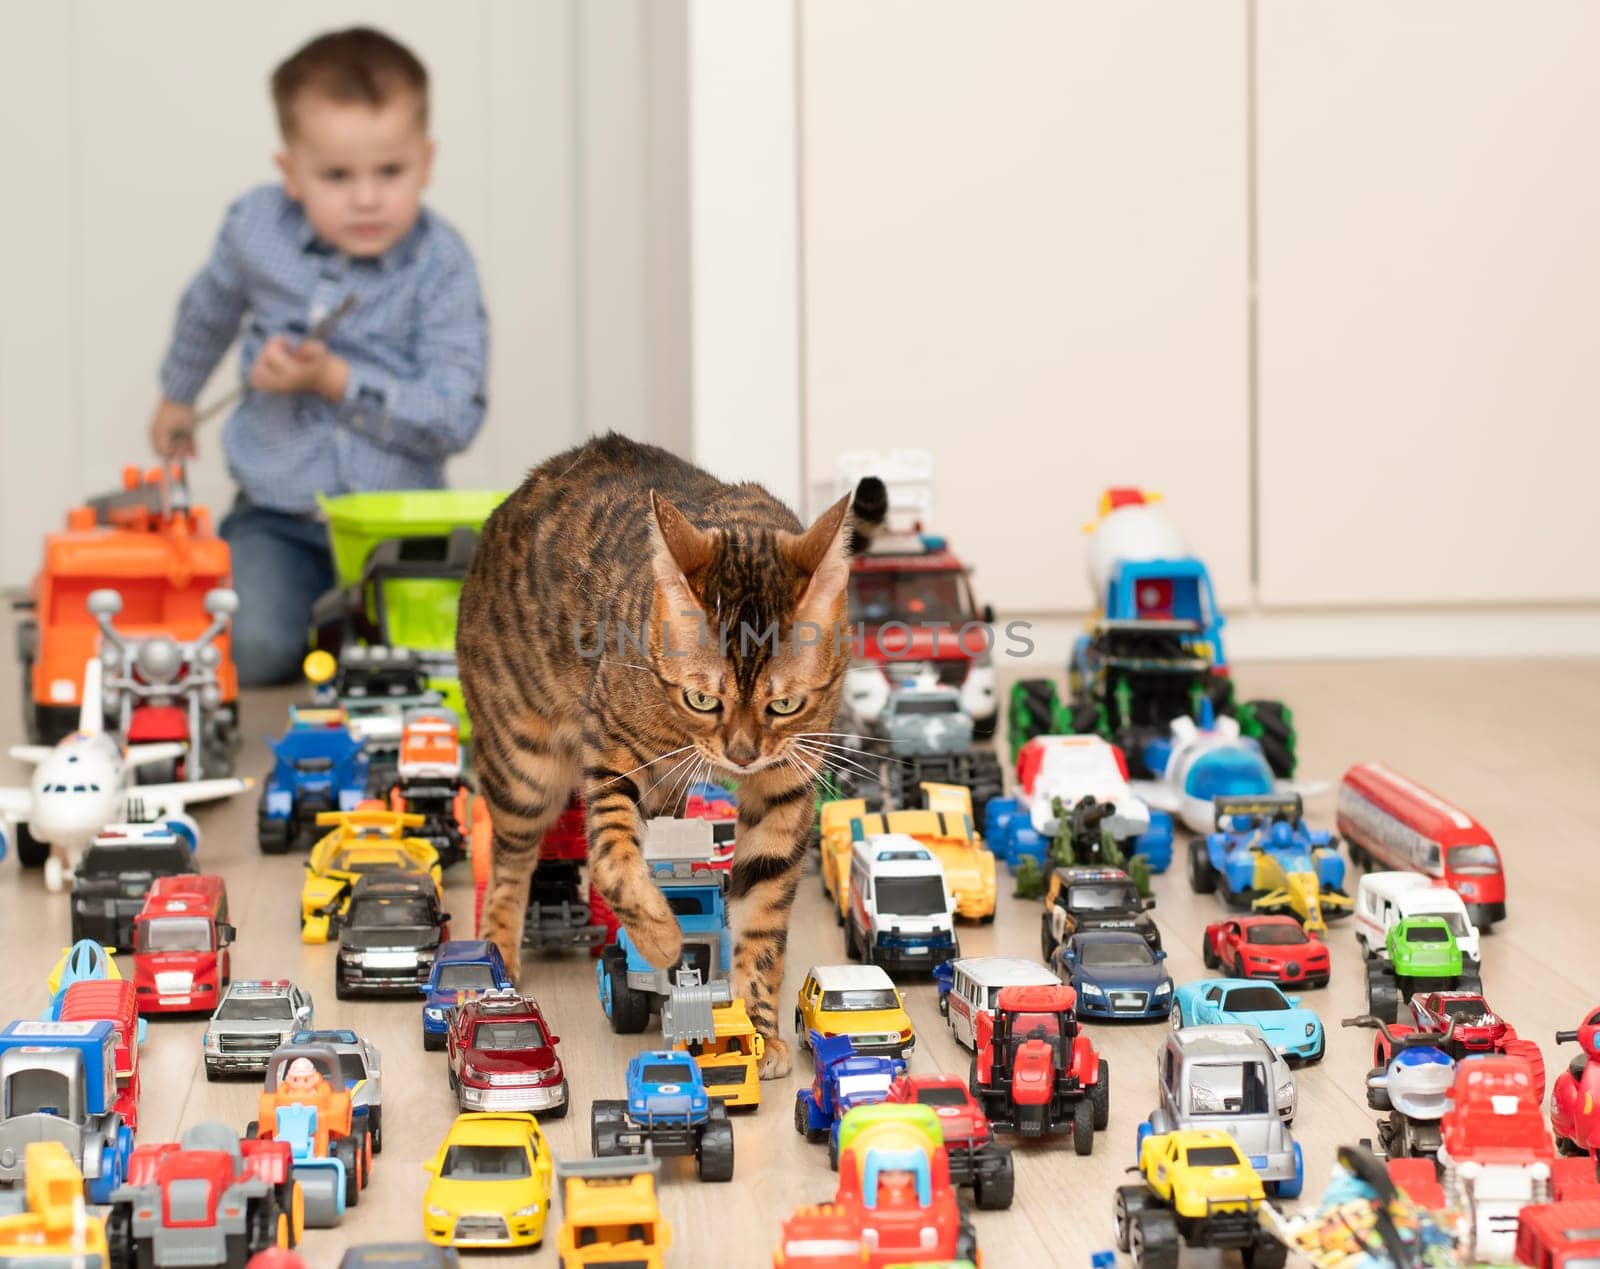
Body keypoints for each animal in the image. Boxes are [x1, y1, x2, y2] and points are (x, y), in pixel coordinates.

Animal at [460, 432, 889, 1075]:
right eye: (700, 698)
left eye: (785, 704)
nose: (741, 754)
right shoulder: (612, 751)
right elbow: (612, 861)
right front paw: (661, 939)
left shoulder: (785, 781)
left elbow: (759, 916)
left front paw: (756, 1027)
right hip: (523, 767)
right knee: (510, 862)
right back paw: (500, 951)